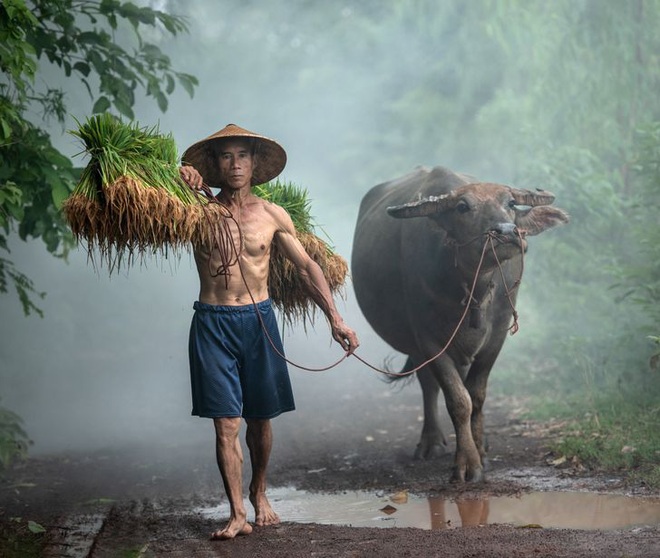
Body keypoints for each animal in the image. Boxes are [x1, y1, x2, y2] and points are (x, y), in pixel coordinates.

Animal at [350, 165, 568, 482]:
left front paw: (480, 450)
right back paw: (430, 442)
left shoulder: (497, 334)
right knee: (429, 386)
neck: (474, 288)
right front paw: (467, 463)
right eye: (462, 207)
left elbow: (476, 394)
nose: (506, 233)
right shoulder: (428, 339)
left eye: (510, 203)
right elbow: (458, 399)